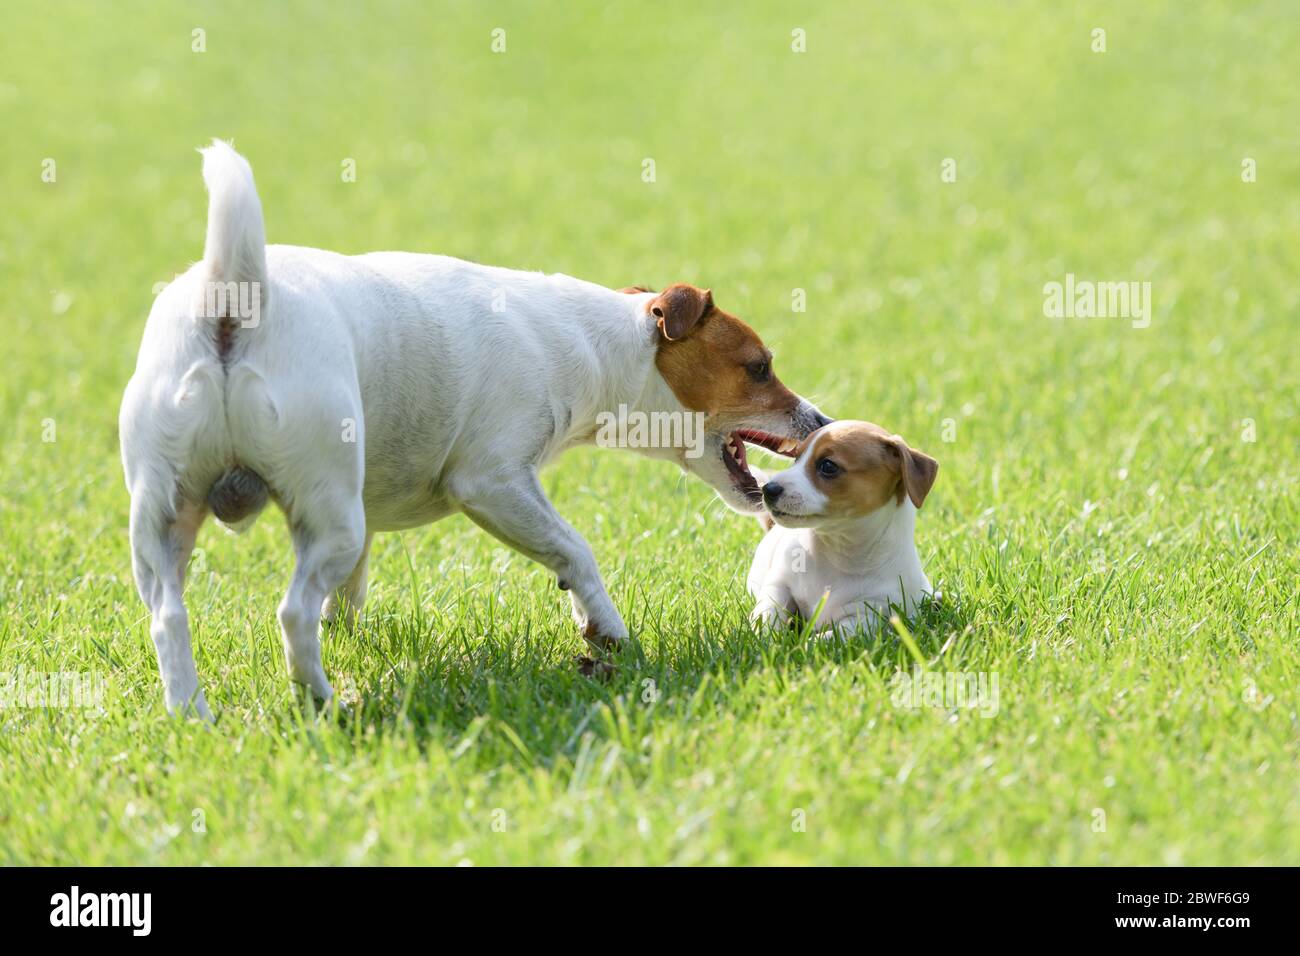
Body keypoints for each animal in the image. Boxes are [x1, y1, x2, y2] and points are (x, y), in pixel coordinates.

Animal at [124, 141, 832, 717]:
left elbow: (349, 590)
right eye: (760, 367)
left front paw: (349, 630)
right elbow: (575, 549)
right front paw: (606, 628)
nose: (822, 420)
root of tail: (233, 300)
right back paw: (322, 699)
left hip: (164, 521)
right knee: (293, 613)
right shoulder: (493, 484)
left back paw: (191, 715)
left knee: (168, 619)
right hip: (327, 512)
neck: (596, 341)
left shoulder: (377, 509)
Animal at [748, 424, 941, 634]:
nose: (767, 489)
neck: (836, 549)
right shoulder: (779, 585)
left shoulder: (867, 616)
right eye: (796, 458)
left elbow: (831, 636)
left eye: (828, 466)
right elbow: (768, 613)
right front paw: (765, 635)